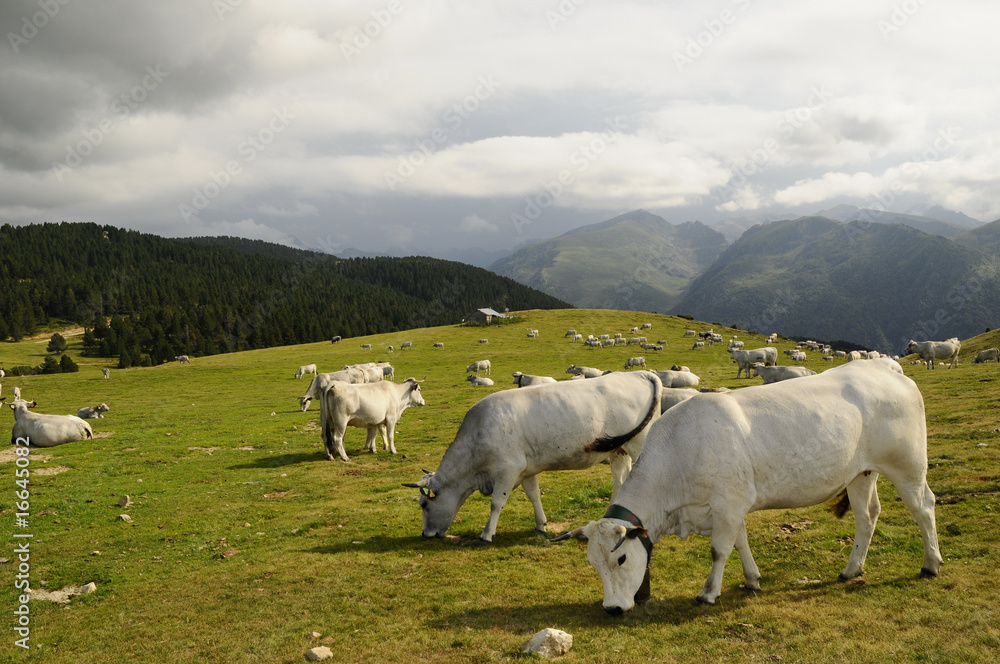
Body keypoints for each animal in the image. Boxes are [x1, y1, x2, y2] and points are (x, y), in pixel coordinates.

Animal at [404, 371, 663, 542]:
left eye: (424, 504)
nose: (425, 534)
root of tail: (640, 374)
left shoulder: (508, 468)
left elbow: (496, 502)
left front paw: (487, 533)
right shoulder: (526, 469)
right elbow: (534, 495)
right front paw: (541, 524)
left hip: (639, 443)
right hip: (619, 449)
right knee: (620, 480)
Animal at [553, 358, 942, 612]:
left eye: (620, 559)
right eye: (593, 564)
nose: (612, 608)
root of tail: (882, 367)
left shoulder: (728, 502)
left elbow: (719, 549)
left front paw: (709, 593)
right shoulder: (730, 504)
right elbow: (739, 542)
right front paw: (752, 579)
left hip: (907, 465)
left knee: (924, 507)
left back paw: (930, 564)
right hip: (861, 472)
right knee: (867, 515)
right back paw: (851, 570)